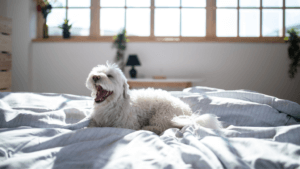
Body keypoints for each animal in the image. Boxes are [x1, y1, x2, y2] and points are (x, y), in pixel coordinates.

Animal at [85, 62, 221, 135]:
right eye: (96, 72)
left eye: (109, 76)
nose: (95, 77)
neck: (111, 105)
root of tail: (189, 113)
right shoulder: (96, 121)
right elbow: (91, 126)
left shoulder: (127, 125)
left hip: (161, 115)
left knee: (163, 127)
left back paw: (148, 128)